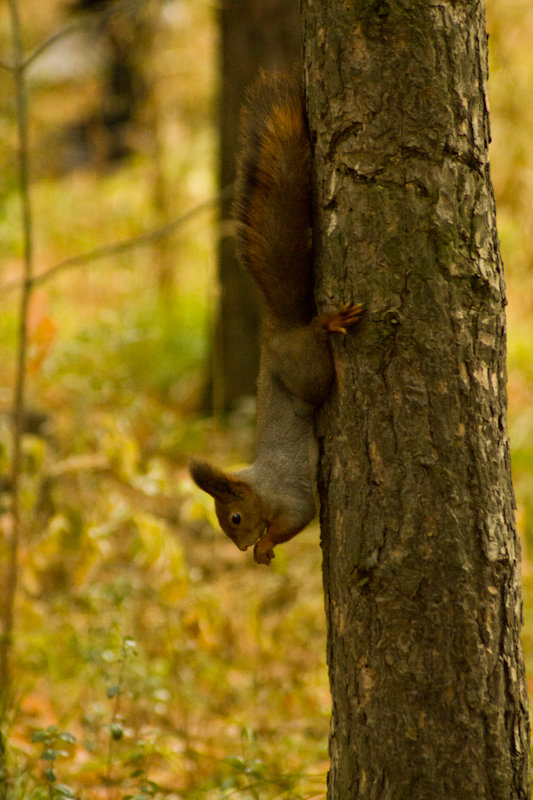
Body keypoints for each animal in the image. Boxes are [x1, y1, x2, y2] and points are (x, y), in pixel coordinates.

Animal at [190, 70, 362, 568]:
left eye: (233, 518)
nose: (241, 547)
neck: (261, 485)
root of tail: (279, 330)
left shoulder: (292, 495)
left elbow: (297, 519)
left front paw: (265, 547)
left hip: (307, 372)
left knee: (317, 361)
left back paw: (327, 323)